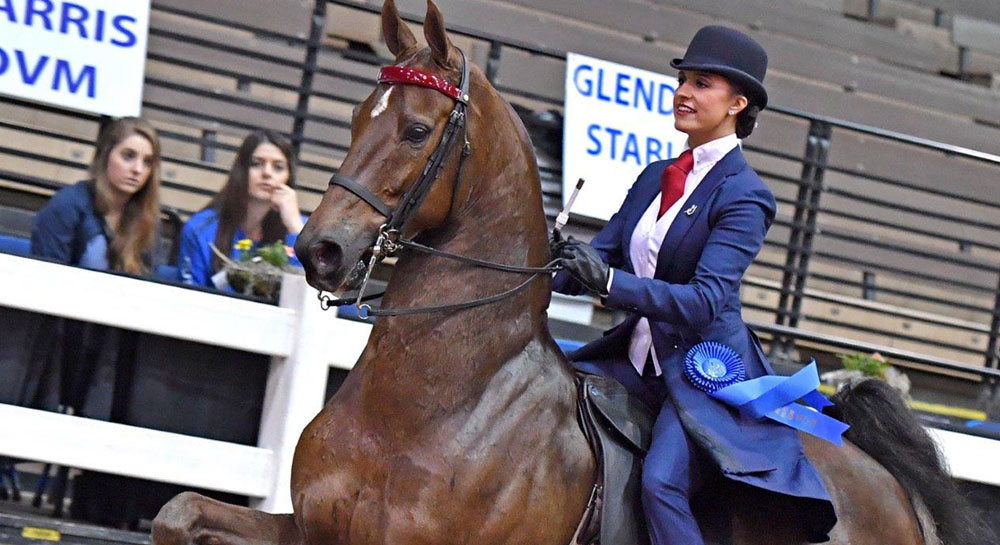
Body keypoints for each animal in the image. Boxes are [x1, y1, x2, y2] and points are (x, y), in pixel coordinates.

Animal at [151, 2, 991, 544]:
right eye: (359, 117)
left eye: (416, 130)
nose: (317, 250)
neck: (434, 401)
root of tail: (884, 482)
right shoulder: (314, 530)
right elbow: (177, 514)